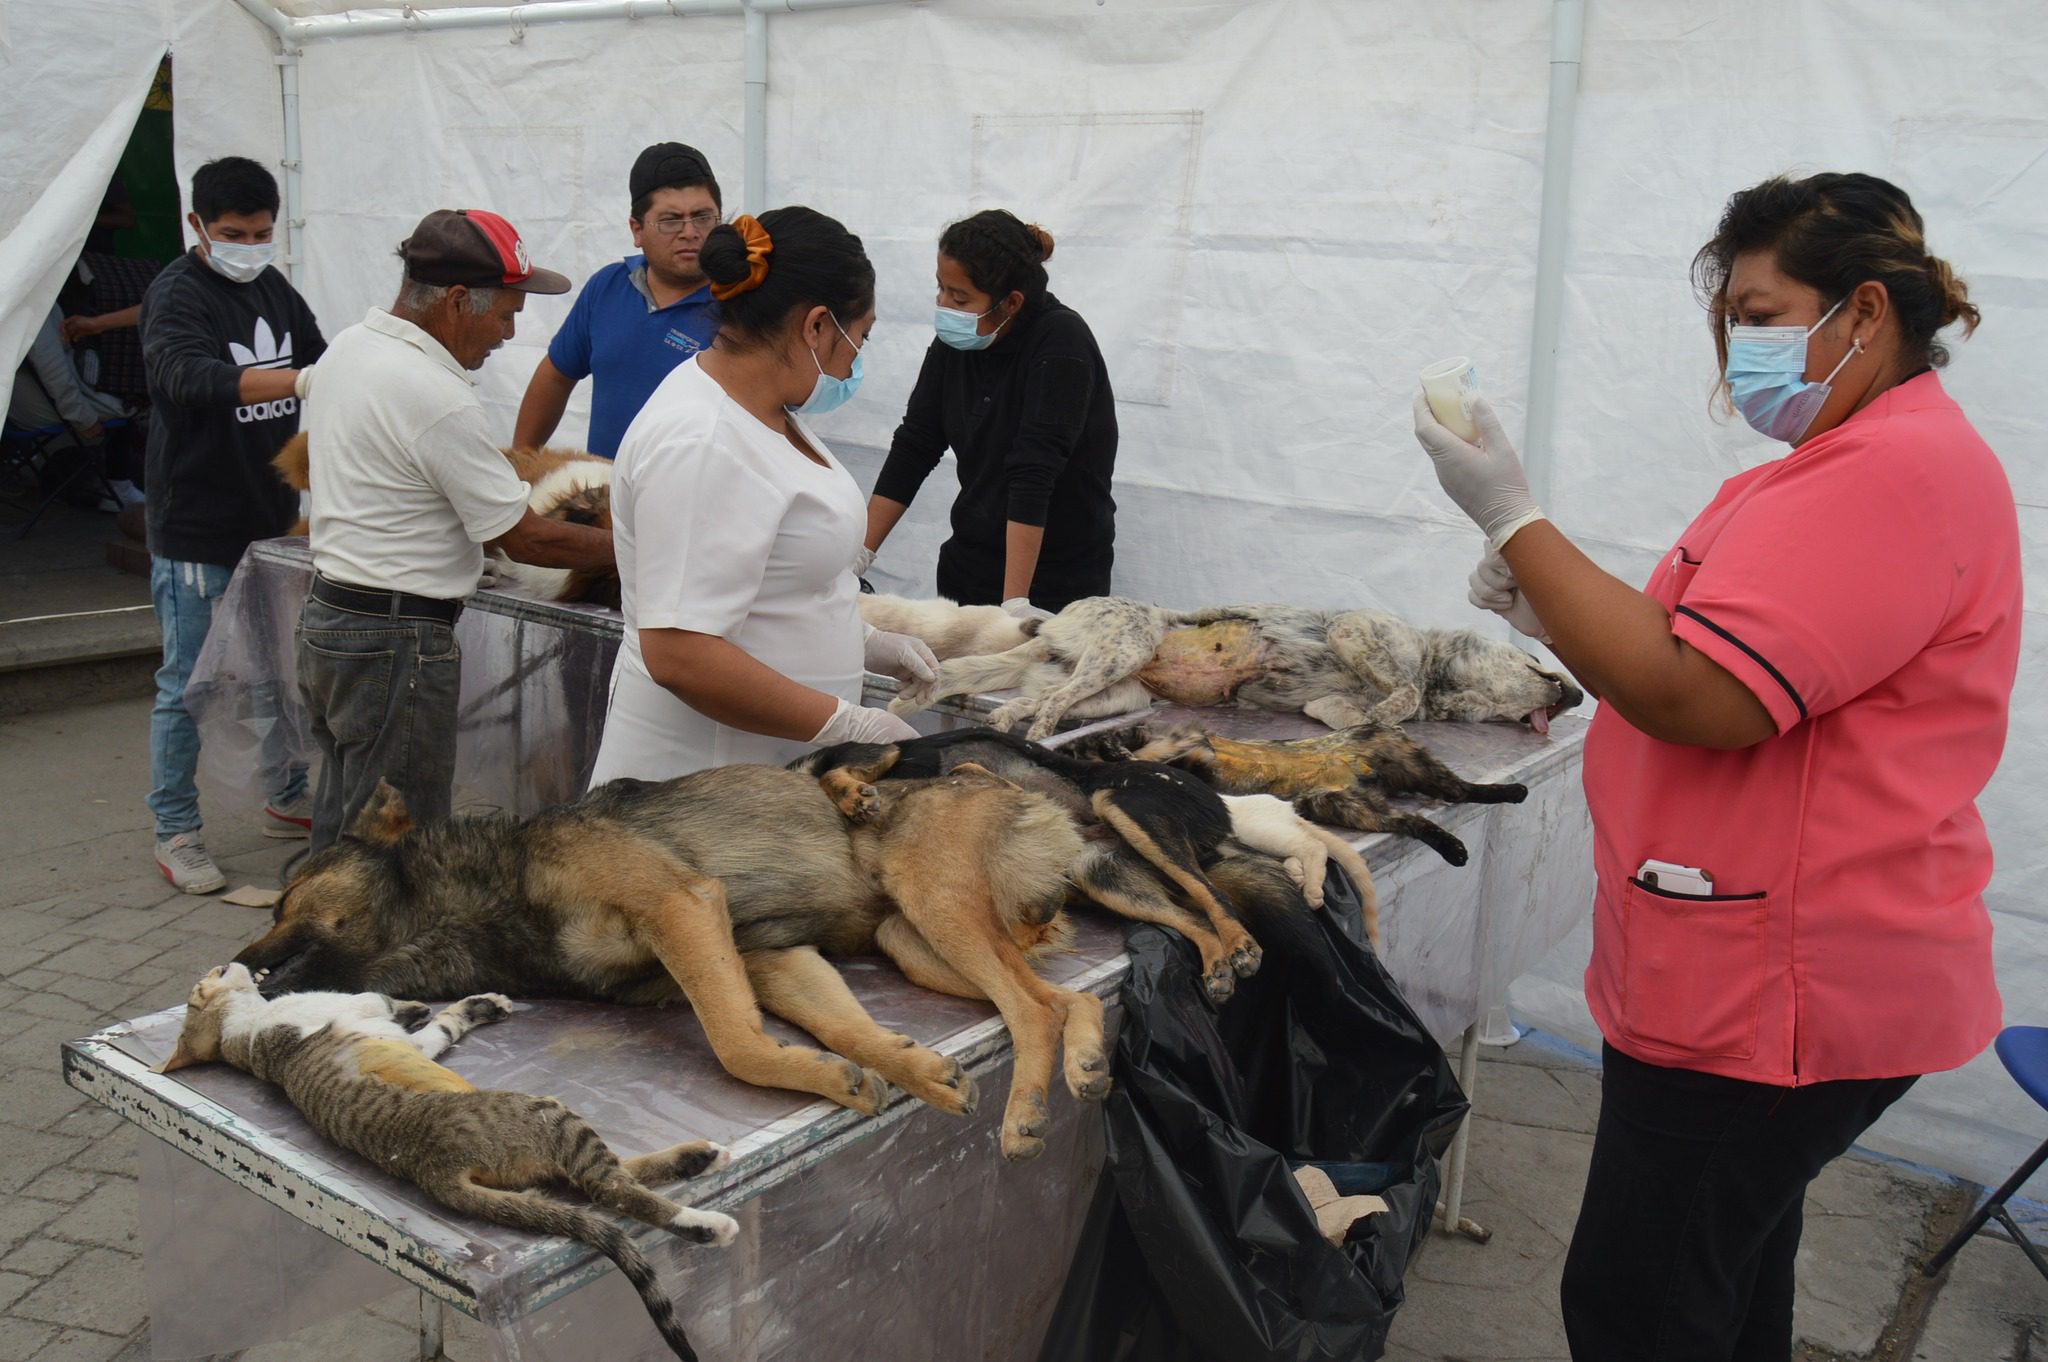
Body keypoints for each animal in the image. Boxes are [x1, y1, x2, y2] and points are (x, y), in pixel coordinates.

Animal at [159, 962, 737, 1351]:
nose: (232, 962)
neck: (246, 1032)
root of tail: (432, 1170)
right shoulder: (351, 1010)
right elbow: (377, 998)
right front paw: (413, 1004)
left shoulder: (413, 1044)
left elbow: (441, 1025)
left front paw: (468, 1006)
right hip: (548, 1115)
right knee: (609, 1187)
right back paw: (707, 1222)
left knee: (605, 1178)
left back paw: (697, 1159)